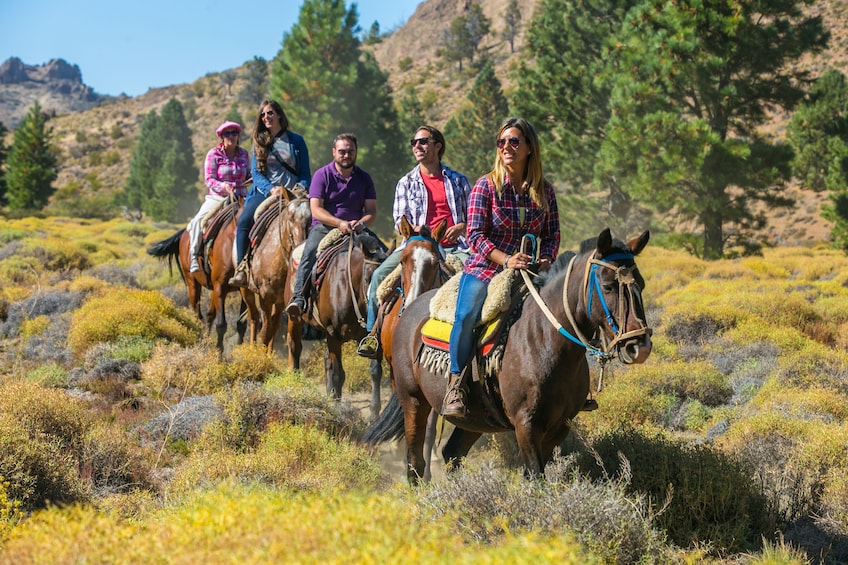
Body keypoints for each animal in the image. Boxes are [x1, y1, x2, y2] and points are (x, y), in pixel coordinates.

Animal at [145, 196, 245, 350]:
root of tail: (184, 233)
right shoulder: (220, 286)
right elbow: (221, 324)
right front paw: (219, 353)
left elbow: (241, 324)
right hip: (192, 283)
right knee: (198, 315)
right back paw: (200, 339)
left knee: (209, 315)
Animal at [238, 187, 312, 360]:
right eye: (290, 217)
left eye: (312, 219)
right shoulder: (265, 297)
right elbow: (265, 332)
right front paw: (260, 359)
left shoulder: (289, 301)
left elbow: (279, 331)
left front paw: (269, 357)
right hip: (246, 290)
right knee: (254, 318)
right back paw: (252, 349)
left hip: (278, 302)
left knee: (274, 323)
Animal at [288, 229, 388, 418]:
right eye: (367, 279)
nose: (380, 311)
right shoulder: (333, 334)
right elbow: (338, 374)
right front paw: (338, 408)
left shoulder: (371, 336)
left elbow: (375, 371)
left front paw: (374, 413)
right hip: (295, 318)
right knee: (295, 347)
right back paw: (296, 381)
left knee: (326, 358)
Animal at [366, 227, 656, 482]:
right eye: (607, 286)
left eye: (641, 284)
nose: (639, 346)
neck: (544, 337)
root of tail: (410, 307)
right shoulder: (526, 424)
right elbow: (536, 478)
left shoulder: (559, 426)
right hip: (413, 400)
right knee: (415, 462)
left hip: (476, 416)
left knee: (453, 453)